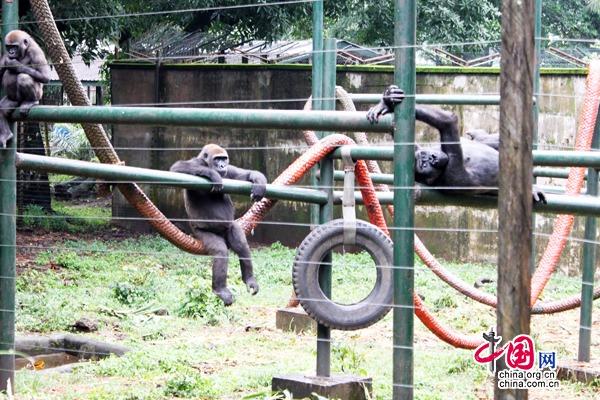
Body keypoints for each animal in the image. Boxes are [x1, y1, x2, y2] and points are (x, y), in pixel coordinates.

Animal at [172, 145, 268, 304]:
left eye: (224, 159)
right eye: (217, 159)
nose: (222, 166)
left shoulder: (230, 170)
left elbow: (247, 174)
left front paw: (259, 184)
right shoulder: (196, 162)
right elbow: (178, 167)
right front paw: (214, 175)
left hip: (230, 227)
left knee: (241, 245)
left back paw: (249, 279)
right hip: (201, 233)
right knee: (221, 252)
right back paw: (220, 289)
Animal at [368, 85, 548, 203]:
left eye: (424, 157)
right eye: (424, 165)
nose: (432, 158)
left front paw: (387, 101)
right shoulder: (453, 175)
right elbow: (448, 121)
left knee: (488, 141)